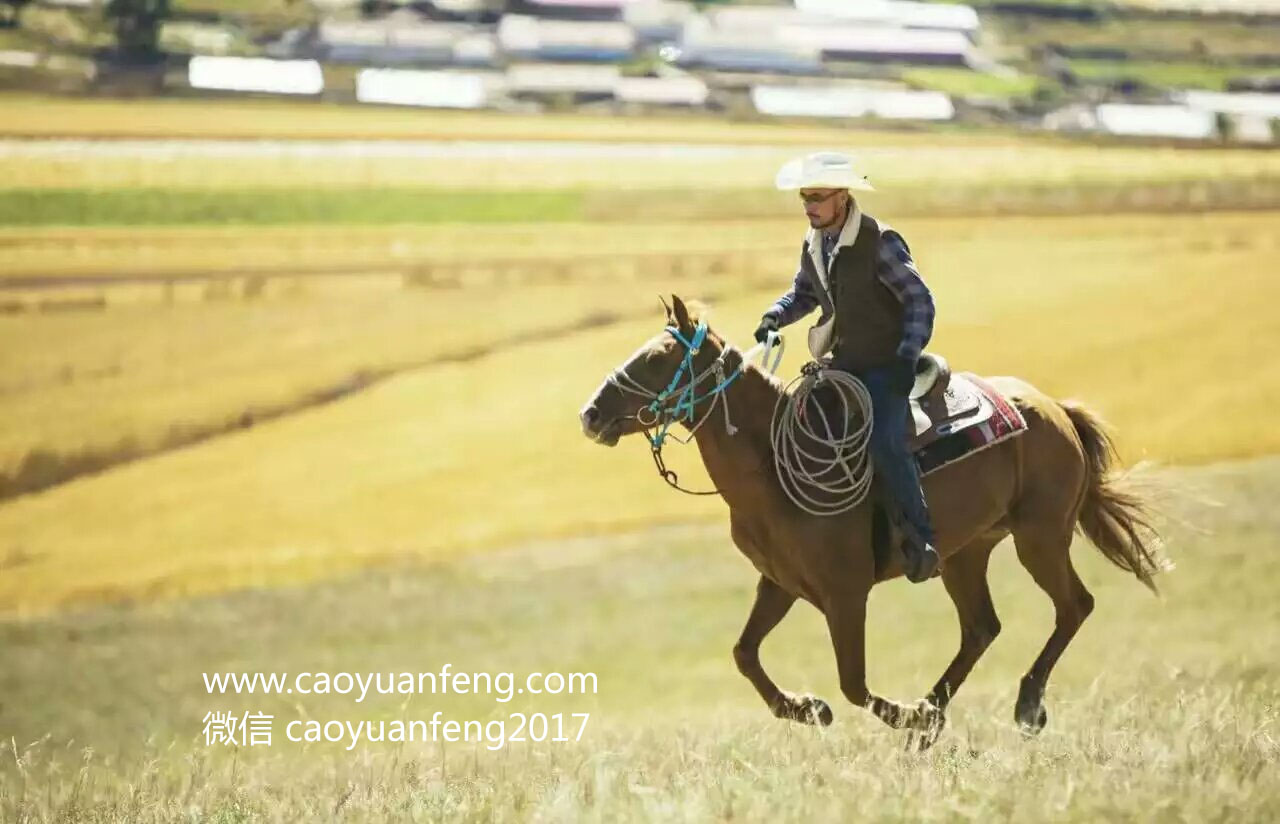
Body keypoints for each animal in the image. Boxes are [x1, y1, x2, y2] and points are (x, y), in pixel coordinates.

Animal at [586, 293, 1167, 742]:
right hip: (966, 553)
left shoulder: (846, 593)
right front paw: (808, 708)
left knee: (1074, 606)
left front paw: (900, 714)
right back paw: (934, 712)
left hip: (1039, 538)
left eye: (658, 358)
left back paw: (1019, 705)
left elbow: (853, 683)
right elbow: (744, 654)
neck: (775, 467)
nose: (590, 414)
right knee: (982, 628)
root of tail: (1054, 409)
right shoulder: (780, 584)